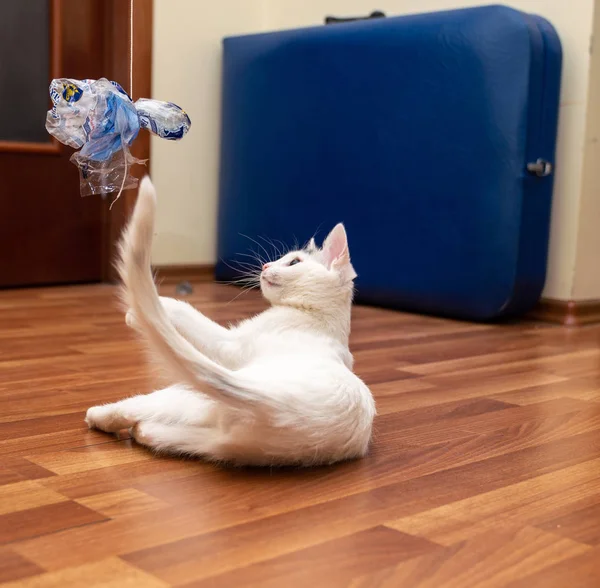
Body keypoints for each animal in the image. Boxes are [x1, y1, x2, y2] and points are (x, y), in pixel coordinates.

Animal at [85, 177, 376, 466]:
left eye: (293, 262)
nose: (266, 266)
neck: (316, 315)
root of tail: (275, 405)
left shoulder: (229, 345)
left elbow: (188, 312)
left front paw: (141, 312)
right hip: (222, 444)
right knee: (163, 434)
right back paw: (141, 430)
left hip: (185, 394)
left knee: (134, 408)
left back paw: (99, 416)